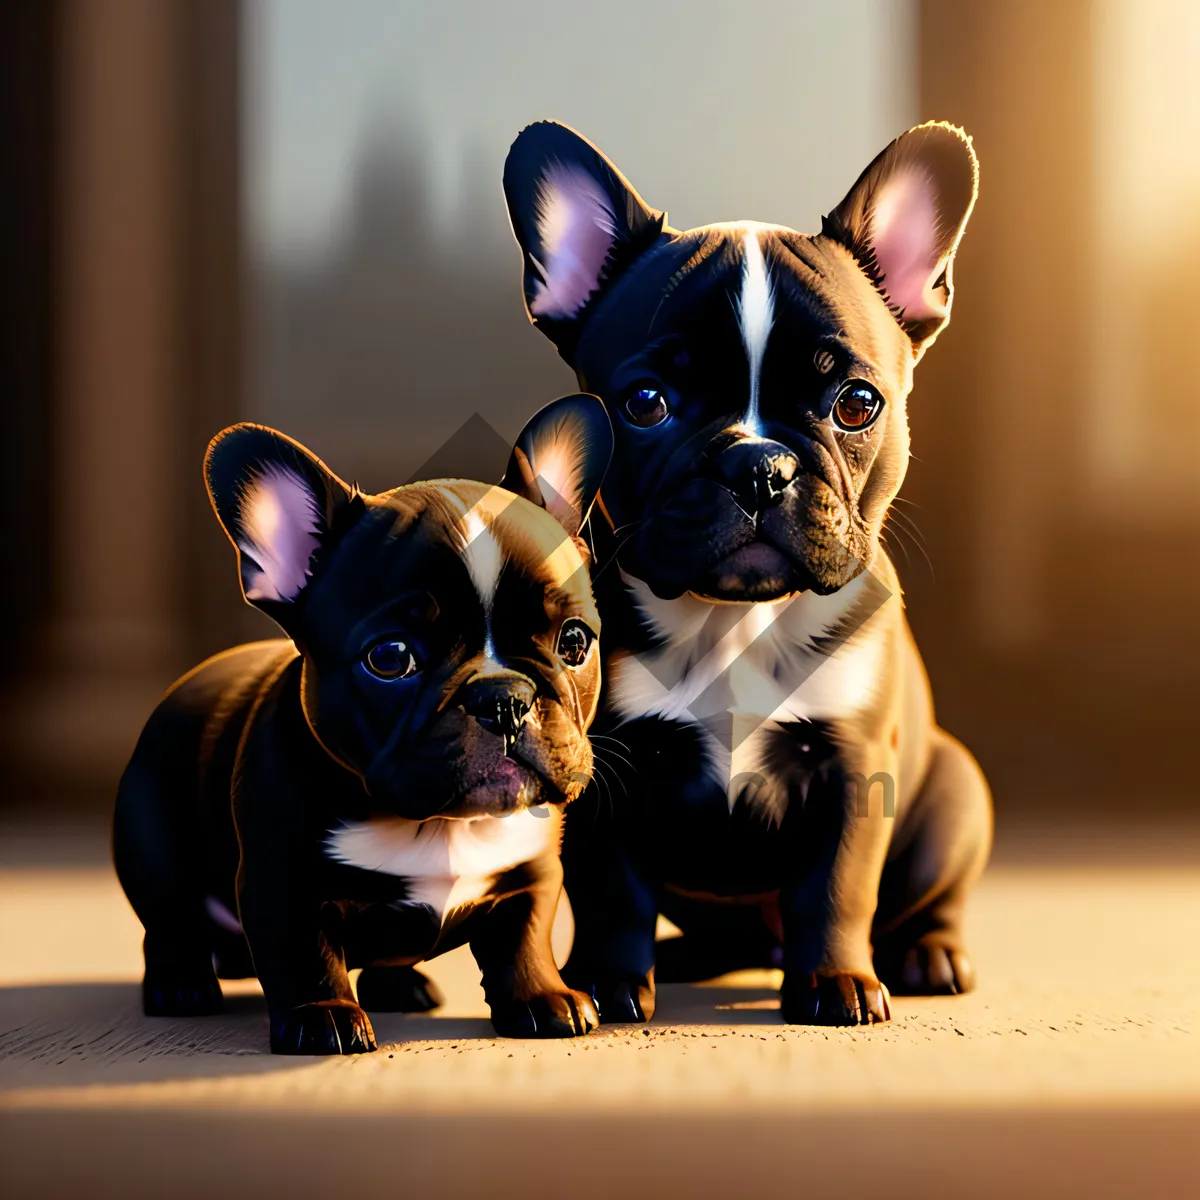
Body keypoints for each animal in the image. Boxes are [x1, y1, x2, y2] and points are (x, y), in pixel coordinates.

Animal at [113, 393, 614, 1051]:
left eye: (575, 642)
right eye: (391, 657)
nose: (504, 698)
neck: (438, 826)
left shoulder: (530, 871)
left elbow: (524, 940)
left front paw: (545, 999)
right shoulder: (283, 881)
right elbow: (303, 951)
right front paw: (323, 1015)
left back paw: (401, 988)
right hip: (156, 854)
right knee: (169, 924)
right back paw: (181, 987)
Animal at [504, 119, 993, 1022]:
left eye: (856, 405)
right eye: (647, 403)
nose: (758, 465)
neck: (736, 619)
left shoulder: (851, 769)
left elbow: (837, 887)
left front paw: (836, 983)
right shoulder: (606, 777)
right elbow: (612, 891)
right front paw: (611, 982)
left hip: (956, 793)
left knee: (926, 899)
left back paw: (929, 957)